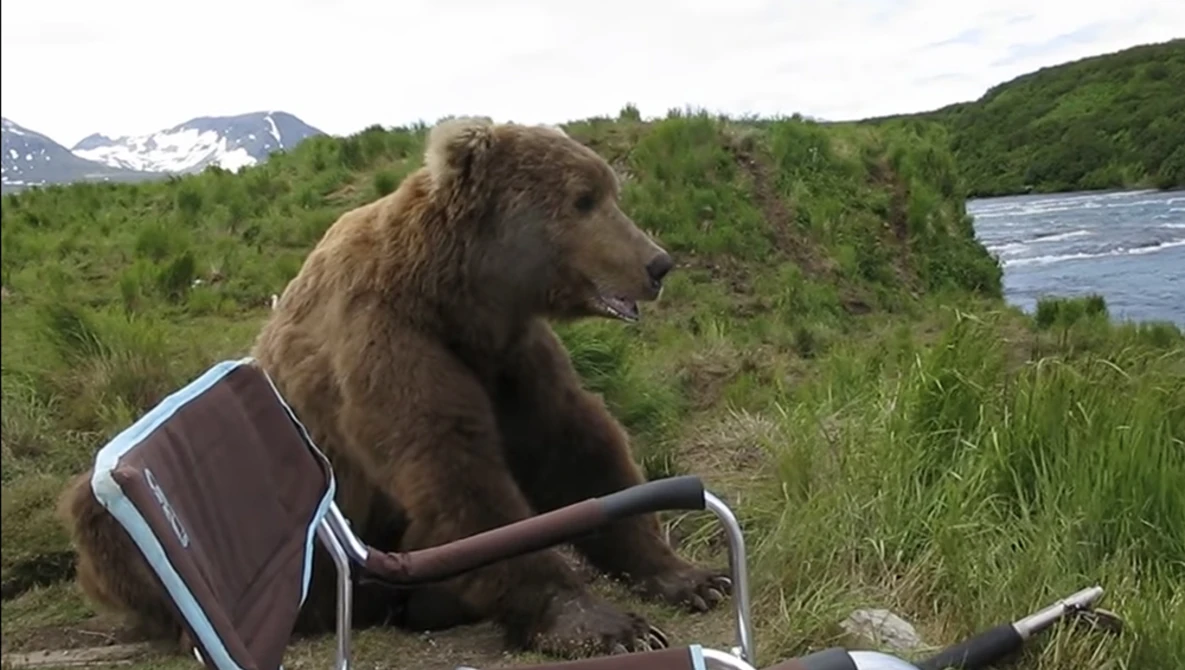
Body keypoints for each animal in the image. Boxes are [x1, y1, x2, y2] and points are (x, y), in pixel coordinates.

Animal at [57, 117, 731, 660]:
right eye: (582, 200)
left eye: (610, 191)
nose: (657, 263)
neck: (458, 297)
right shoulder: (387, 340)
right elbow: (454, 470)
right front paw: (604, 623)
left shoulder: (508, 357)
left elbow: (576, 446)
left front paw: (692, 576)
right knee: (99, 518)